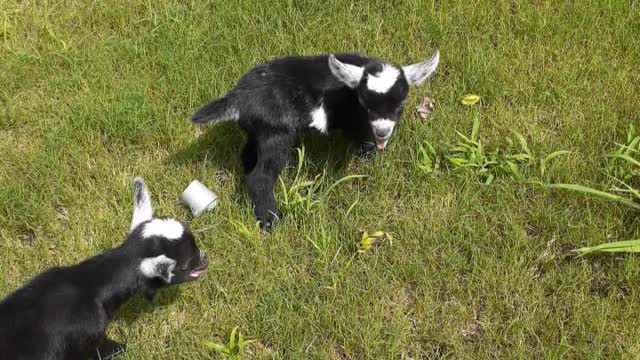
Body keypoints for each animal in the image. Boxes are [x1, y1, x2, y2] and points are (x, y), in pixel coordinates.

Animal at [192, 51, 438, 231]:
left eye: (400, 105)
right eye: (365, 104)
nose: (383, 132)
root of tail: (237, 99)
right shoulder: (354, 122)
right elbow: (362, 140)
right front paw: (369, 158)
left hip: (259, 130)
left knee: (248, 155)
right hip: (277, 133)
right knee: (261, 175)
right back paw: (270, 220)